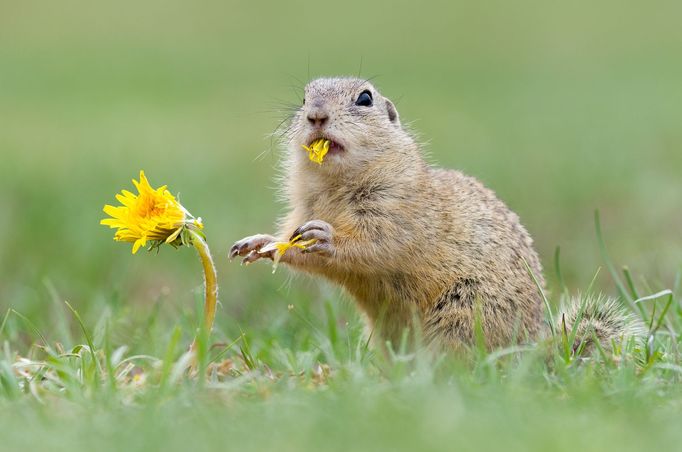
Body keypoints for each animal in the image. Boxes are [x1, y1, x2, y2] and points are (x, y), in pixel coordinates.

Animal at [230, 77, 644, 354]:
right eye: (304, 98)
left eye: (364, 98)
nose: (315, 115)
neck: (336, 188)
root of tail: (530, 348)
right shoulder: (301, 209)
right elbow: (295, 245)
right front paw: (259, 243)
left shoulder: (399, 210)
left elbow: (377, 244)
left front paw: (325, 236)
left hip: (462, 315)